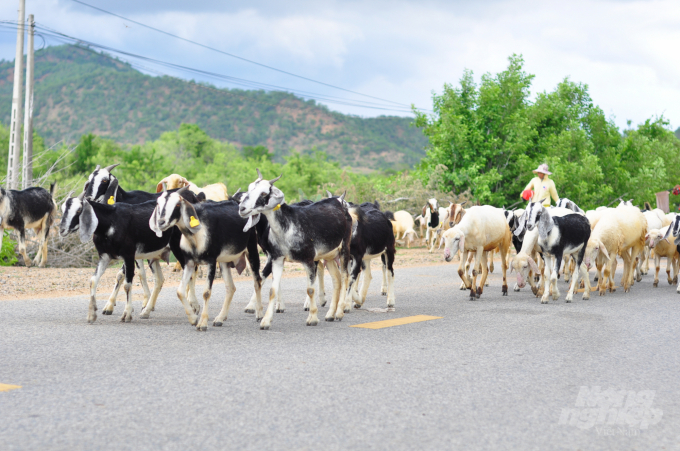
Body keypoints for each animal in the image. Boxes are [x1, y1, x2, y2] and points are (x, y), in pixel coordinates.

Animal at [151, 187, 262, 332]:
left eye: (177, 204)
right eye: (158, 203)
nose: (161, 222)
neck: (197, 233)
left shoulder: (211, 261)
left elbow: (206, 293)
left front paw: (202, 323)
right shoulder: (189, 262)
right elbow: (180, 291)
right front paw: (193, 319)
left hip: (251, 249)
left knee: (257, 281)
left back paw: (259, 315)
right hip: (224, 260)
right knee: (231, 287)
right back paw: (220, 319)